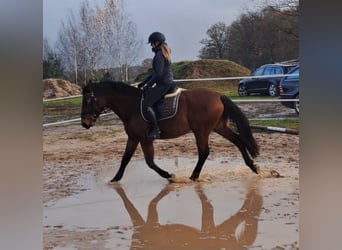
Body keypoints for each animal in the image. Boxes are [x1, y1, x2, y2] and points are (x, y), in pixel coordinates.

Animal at [81, 80, 260, 182]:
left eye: (88, 100)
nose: (84, 123)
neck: (132, 105)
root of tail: (218, 95)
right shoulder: (133, 137)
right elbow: (125, 159)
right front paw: (115, 179)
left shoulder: (145, 139)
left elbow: (150, 162)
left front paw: (169, 176)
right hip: (219, 127)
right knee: (238, 141)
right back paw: (253, 166)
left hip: (201, 131)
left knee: (204, 152)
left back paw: (193, 176)